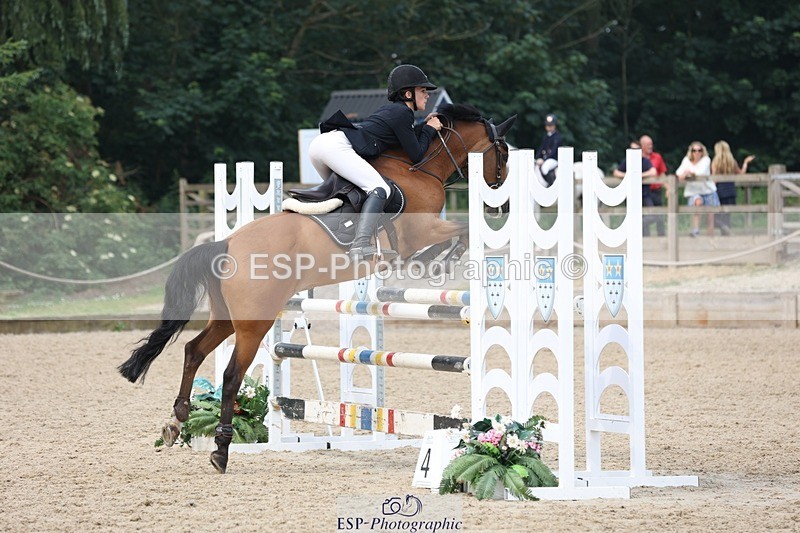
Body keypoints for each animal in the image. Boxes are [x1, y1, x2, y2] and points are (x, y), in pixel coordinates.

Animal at [118, 103, 515, 473]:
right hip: (254, 323)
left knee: (193, 350)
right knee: (231, 377)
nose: (503, 204)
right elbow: (461, 231)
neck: (421, 166)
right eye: (504, 152)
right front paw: (439, 259)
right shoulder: (421, 230)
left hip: (228, 318)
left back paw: (177, 420)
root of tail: (227, 244)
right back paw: (220, 450)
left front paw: (438, 259)